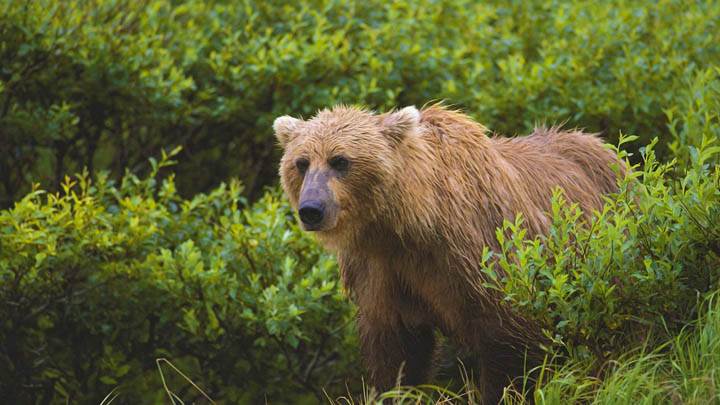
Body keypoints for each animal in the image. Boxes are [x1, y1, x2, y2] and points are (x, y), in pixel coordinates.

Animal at [273, 104, 624, 403]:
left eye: (340, 160)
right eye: (301, 163)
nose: (311, 209)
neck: (411, 226)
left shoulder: (482, 255)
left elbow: (510, 344)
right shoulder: (381, 271)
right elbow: (397, 353)